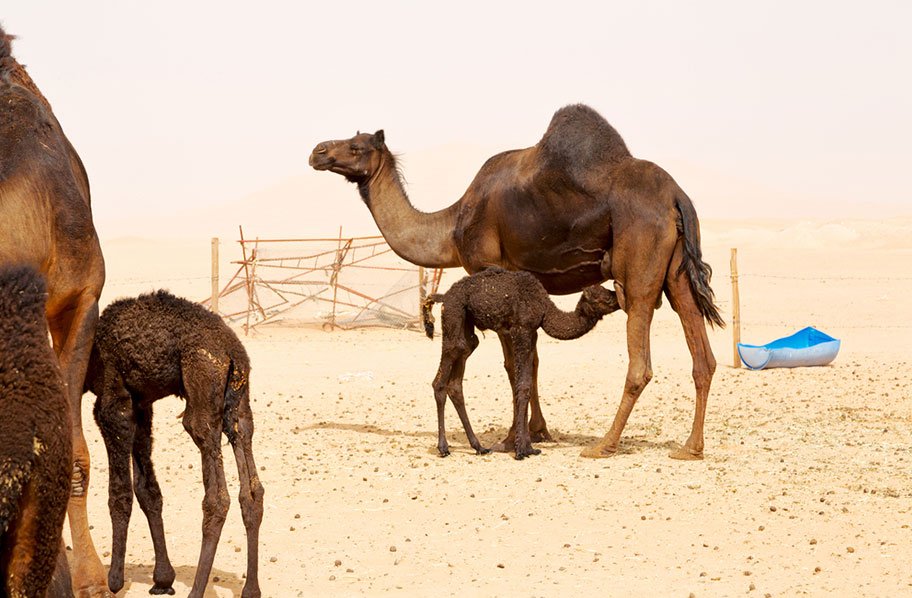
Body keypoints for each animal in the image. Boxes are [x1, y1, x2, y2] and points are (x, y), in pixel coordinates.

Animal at [84, 292, 264, 598]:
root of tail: (233, 354)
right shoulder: (141, 404)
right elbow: (147, 490)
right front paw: (162, 579)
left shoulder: (113, 404)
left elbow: (120, 493)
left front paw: (115, 580)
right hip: (240, 404)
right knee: (252, 490)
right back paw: (251, 590)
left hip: (202, 389)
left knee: (217, 498)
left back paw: (197, 591)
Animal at [422, 270, 620, 462]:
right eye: (606, 297)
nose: (619, 298)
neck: (544, 308)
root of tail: (444, 296)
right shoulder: (521, 329)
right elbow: (522, 386)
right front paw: (520, 450)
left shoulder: (532, 332)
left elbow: (526, 385)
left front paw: (530, 448)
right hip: (453, 315)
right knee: (441, 378)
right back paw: (444, 448)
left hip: (466, 327)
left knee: (458, 375)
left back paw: (479, 447)